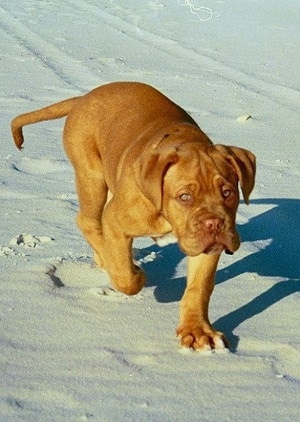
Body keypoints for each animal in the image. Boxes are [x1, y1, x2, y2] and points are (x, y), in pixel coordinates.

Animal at [11, 81, 255, 350]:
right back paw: (108, 257)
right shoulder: (117, 221)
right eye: (184, 197)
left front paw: (197, 330)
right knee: (88, 222)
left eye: (228, 192)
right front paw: (135, 274)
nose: (214, 223)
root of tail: (84, 98)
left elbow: (199, 288)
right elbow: (124, 275)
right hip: (91, 177)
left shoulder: (205, 247)